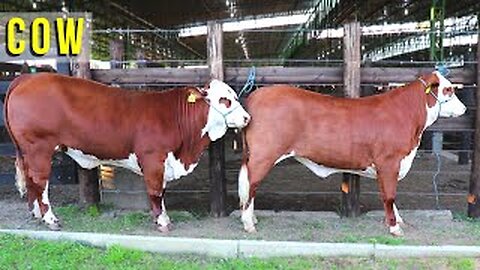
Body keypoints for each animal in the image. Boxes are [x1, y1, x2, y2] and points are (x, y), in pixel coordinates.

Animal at [3, 72, 249, 232]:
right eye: (224, 100)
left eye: (235, 96)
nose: (247, 118)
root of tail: (28, 78)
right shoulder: (152, 159)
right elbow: (156, 191)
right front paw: (162, 222)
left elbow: (162, 191)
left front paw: (163, 217)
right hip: (39, 148)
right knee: (40, 182)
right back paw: (51, 219)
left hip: (28, 152)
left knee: (31, 181)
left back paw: (36, 213)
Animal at [239, 71, 464, 236]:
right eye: (448, 90)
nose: (463, 108)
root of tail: (257, 95)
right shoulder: (389, 162)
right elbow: (390, 195)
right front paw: (394, 227)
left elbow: (389, 196)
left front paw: (398, 220)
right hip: (263, 155)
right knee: (252, 184)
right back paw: (249, 223)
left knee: (251, 186)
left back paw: (252, 218)